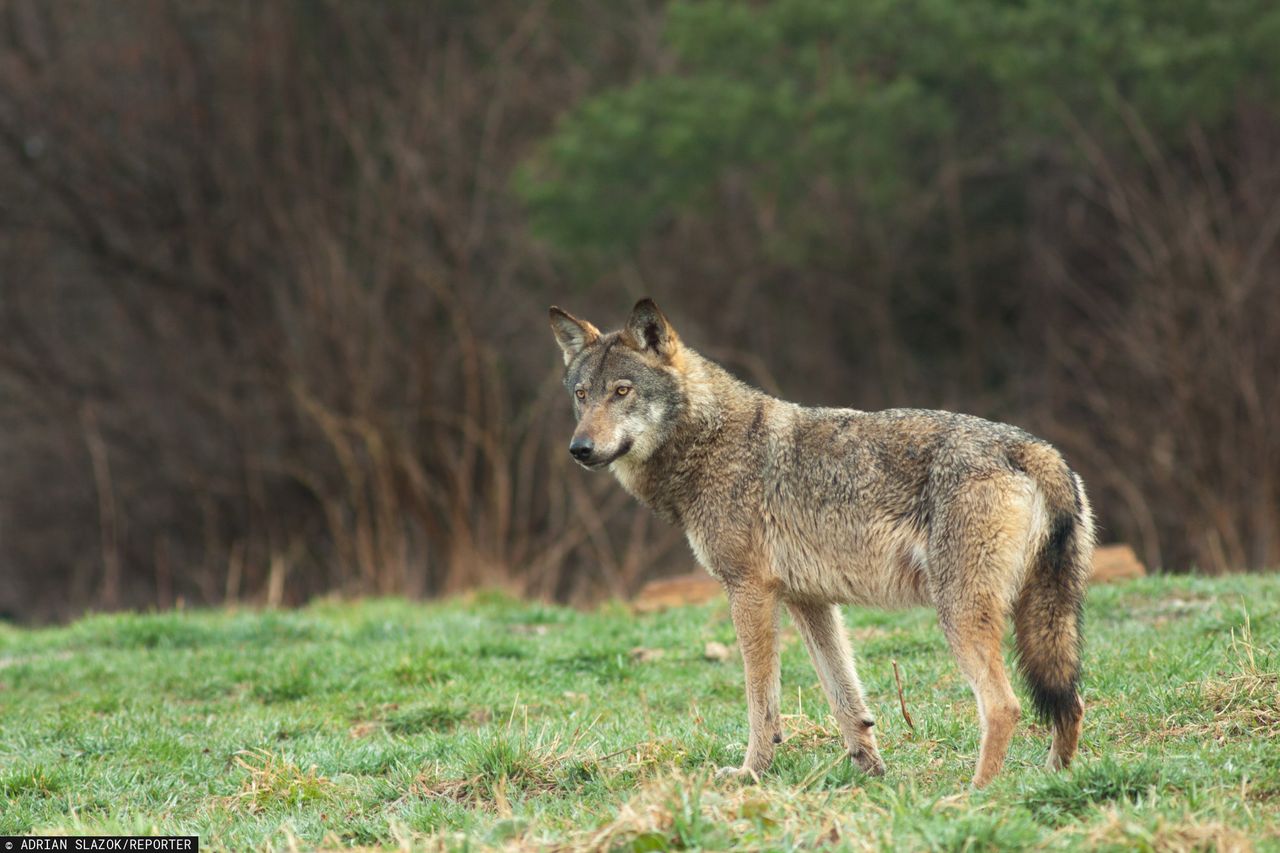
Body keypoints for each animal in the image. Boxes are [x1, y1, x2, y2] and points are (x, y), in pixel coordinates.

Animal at [545, 298, 1095, 783]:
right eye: (582, 395)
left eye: (622, 391)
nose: (579, 449)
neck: (709, 442)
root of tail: (1034, 448)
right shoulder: (809, 601)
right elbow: (846, 700)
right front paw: (870, 772)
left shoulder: (749, 592)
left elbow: (761, 705)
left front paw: (750, 773)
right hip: (1042, 619)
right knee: (1070, 702)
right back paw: (1051, 781)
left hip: (959, 614)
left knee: (1005, 705)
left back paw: (975, 793)